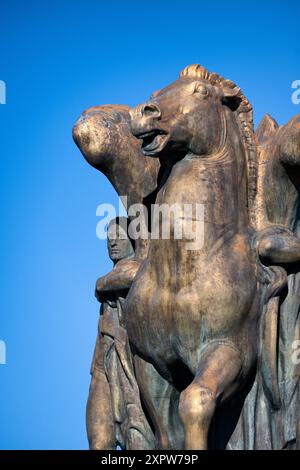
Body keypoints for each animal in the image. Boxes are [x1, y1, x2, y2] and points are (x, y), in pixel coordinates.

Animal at [124, 64, 284, 450]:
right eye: (158, 90)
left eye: (201, 92)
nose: (143, 112)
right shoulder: (151, 363)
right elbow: (166, 434)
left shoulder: (229, 351)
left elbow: (195, 402)